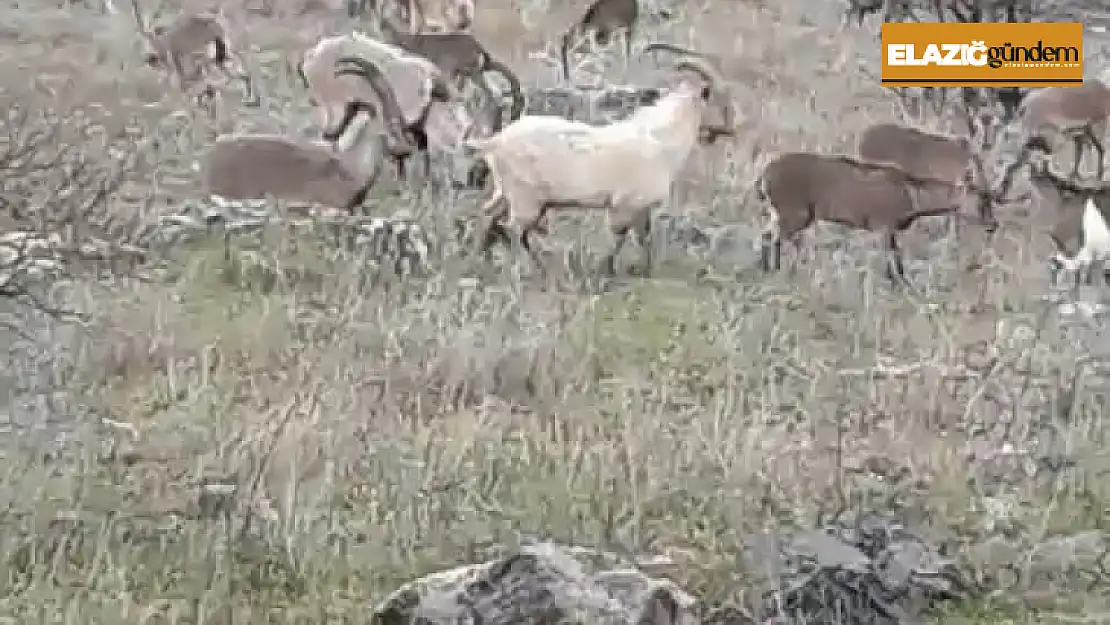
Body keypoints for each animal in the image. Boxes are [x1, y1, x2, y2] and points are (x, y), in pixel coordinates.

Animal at [461, 42, 732, 277]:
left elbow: (643, 236)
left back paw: (481, 261)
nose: (731, 128)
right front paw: (606, 271)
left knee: (488, 215)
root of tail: (495, 141)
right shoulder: (624, 205)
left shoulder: (640, 208)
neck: (661, 138)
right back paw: (531, 271)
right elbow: (619, 236)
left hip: (506, 191)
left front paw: (644, 270)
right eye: (722, 99)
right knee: (514, 229)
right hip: (526, 199)